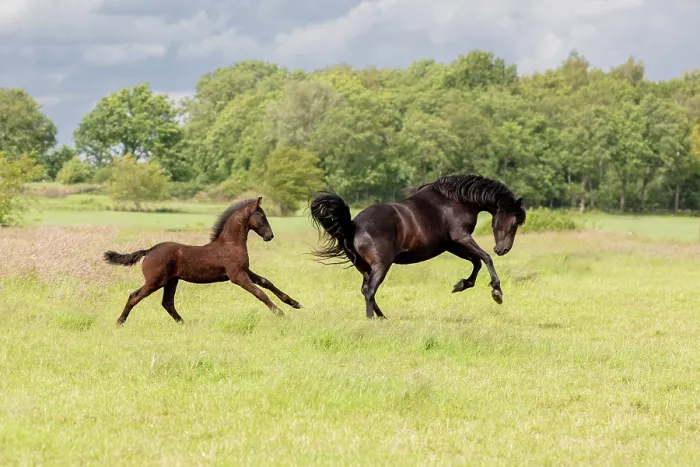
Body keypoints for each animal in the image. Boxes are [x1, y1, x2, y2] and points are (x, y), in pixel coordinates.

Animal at [103, 197, 302, 325]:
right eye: (261, 215)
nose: (270, 236)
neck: (230, 243)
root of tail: (148, 251)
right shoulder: (237, 276)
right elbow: (260, 293)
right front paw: (280, 313)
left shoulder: (245, 270)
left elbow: (266, 282)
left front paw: (294, 303)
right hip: (155, 281)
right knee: (134, 296)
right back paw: (120, 322)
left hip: (171, 281)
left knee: (167, 303)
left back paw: (184, 323)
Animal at [309, 174, 526, 319]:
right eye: (514, 222)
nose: (503, 250)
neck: (456, 201)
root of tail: (353, 225)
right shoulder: (461, 237)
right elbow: (485, 258)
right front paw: (497, 292)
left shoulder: (451, 244)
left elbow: (477, 262)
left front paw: (462, 285)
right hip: (381, 266)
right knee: (370, 291)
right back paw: (371, 319)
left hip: (365, 268)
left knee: (365, 290)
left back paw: (382, 317)